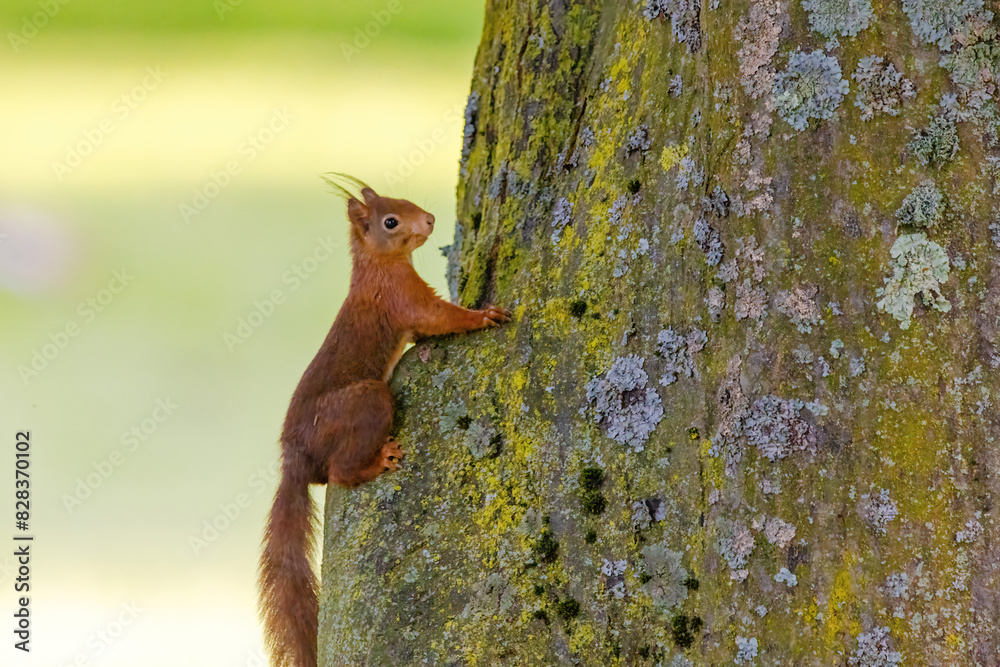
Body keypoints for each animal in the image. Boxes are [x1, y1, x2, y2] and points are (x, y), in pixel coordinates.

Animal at [260, 176, 508, 667]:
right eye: (390, 222)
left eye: (405, 200)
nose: (429, 220)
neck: (378, 267)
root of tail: (293, 459)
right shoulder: (403, 299)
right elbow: (440, 318)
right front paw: (483, 315)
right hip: (365, 403)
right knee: (338, 473)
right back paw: (378, 461)